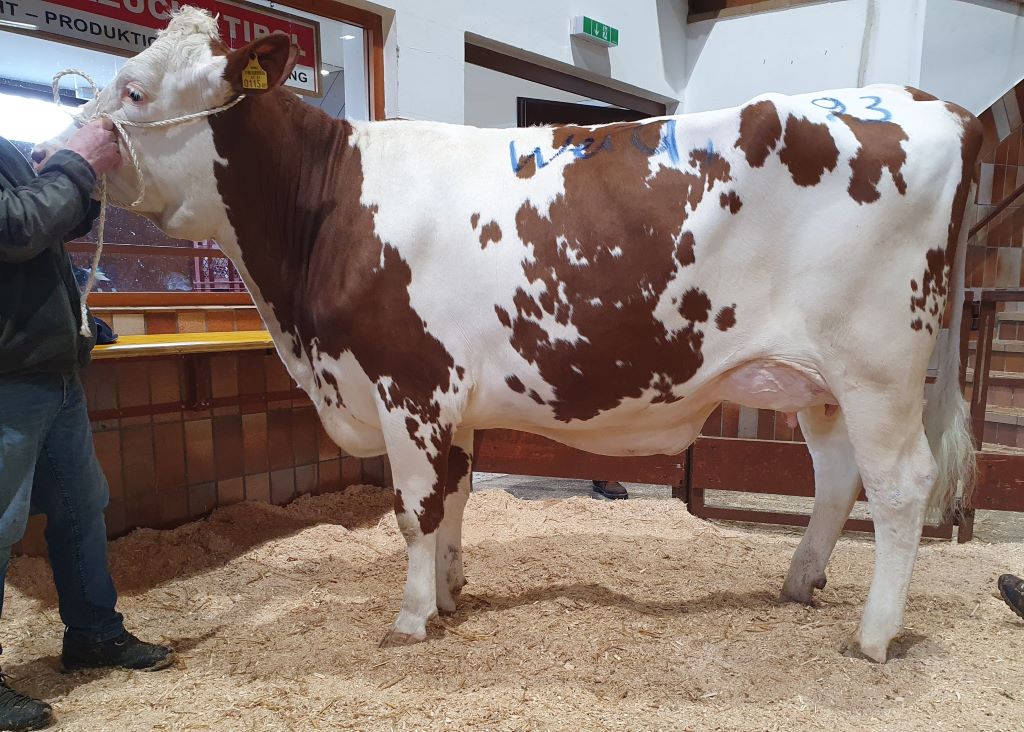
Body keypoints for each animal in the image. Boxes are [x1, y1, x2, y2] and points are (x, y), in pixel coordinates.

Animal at [38, 8, 982, 663]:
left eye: (133, 91)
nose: (52, 154)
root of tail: (938, 105)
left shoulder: (408, 385)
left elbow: (413, 508)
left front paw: (412, 617)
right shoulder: (448, 398)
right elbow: (453, 498)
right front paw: (451, 594)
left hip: (877, 367)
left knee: (901, 487)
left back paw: (872, 636)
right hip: (817, 382)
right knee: (838, 479)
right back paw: (799, 582)